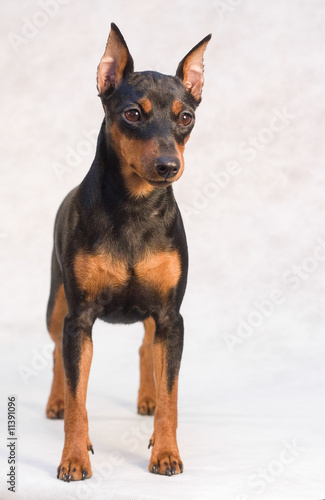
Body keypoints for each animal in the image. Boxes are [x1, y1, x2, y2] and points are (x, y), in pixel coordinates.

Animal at [45, 22, 210, 480]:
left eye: (186, 118)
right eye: (133, 114)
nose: (169, 166)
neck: (135, 208)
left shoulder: (172, 317)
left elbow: (172, 395)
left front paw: (166, 453)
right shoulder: (79, 319)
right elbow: (79, 397)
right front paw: (74, 458)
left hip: (155, 315)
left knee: (145, 347)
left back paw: (147, 399)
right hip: (56, 304)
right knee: (56, 354)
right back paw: (56, 402)